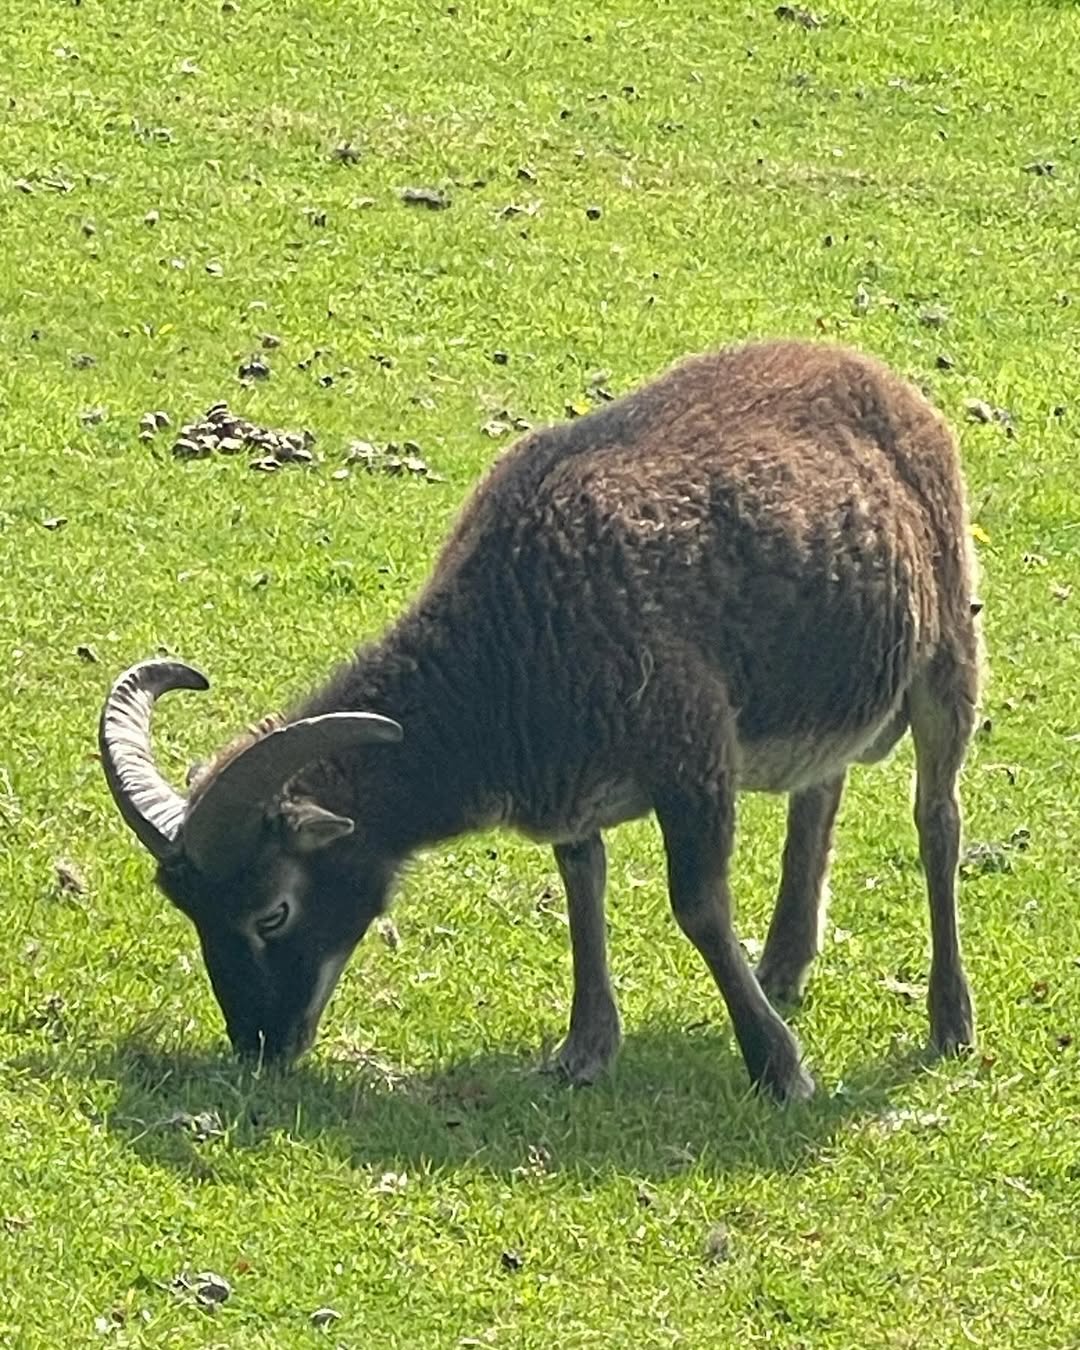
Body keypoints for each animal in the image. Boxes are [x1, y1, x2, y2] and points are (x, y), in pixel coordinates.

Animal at [99, 338, 983, 1102]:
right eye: (191, 913)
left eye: (272, 911)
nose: (260, 1046)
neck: (502, 653)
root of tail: (876, 374)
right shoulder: (570, 783)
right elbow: (582, 886)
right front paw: (584, 1049)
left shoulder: (692, 751)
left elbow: (697, 907)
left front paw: (777, 1069)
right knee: (819, 794)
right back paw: (783, 969)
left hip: (949, 649)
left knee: (937, 821)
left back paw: (950, 1021)